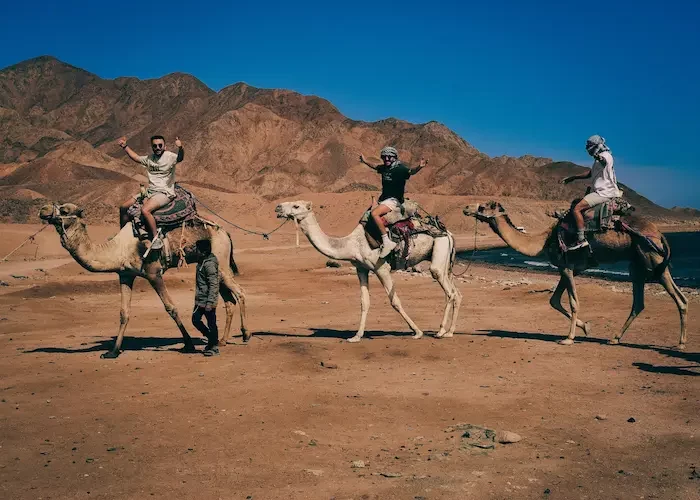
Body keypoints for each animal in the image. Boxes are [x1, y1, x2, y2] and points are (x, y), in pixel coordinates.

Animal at [38, 203, 249, 358]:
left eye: (64, 210)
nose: (43, 210)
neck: (118, 249)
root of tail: (225, 232)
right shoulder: (125, 275)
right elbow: (124, 313)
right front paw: (113, 352)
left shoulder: (153, 272)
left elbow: (171, 307)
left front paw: (188, 344)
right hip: (216, 265)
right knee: (228, 300)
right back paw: (222, 340)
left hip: (221, 260)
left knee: (239, 292)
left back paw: (245, 334)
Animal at [275, 201, 462, 342]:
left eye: (296, 206)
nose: (277, 208)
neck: (351, 244)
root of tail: (448, 232)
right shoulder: (361, 268)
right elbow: (364, 302)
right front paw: (356, 336)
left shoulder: (381, 268)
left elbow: (395, 301)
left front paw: (417, 332)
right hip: (445, 261)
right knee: (456, 293)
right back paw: (450, 331)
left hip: (439, 251)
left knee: (448, 290)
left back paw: (440, 331)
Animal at [463, 201, 688, 349]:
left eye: (482, 207)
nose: (466, 209)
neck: (544, 241)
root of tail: (659, 233)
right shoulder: (569, 267)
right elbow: (554, 300)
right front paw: (585, 327)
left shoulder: (567, 267)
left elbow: (572, 302)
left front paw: (569, 337)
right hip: (640, 265)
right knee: (641, 302)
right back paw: (615, 338)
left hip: (652, 260)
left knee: (679, 299)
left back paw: (680, 343)